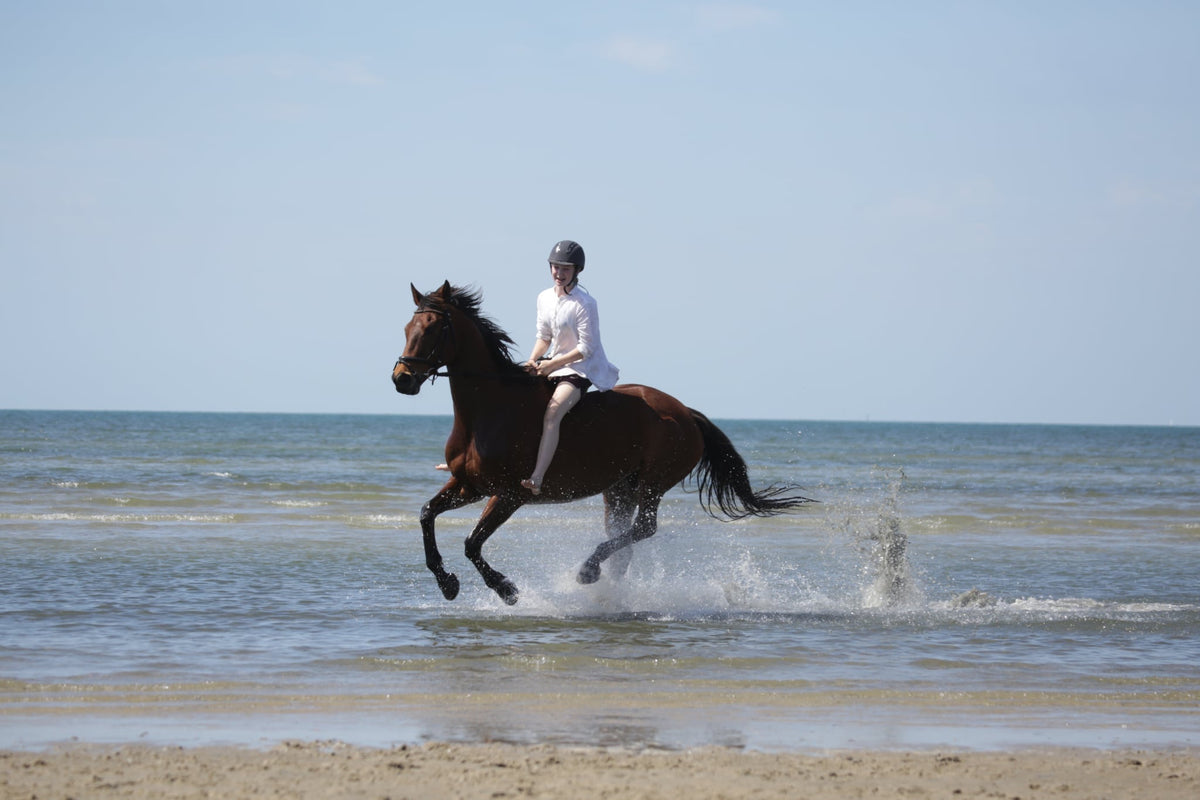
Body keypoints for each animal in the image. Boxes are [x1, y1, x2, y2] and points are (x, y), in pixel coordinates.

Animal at [391, 281, 812, 604]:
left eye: (433, 328)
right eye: (407, 326)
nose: (402, 380)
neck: (487, 412)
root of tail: (685, 412)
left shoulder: (510, 494)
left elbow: (471, 543)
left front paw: (506, 590)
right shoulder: (470, 485)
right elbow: (426, 515)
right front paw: (447, 584)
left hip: (653, 483)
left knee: (644, 529)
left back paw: (588, 572)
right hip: (620, 489)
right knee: (624, 540)